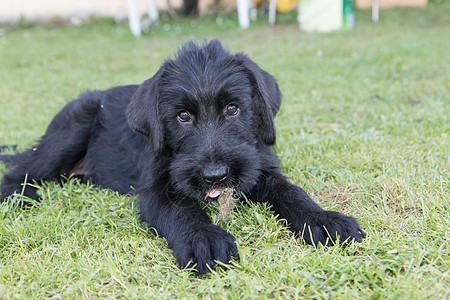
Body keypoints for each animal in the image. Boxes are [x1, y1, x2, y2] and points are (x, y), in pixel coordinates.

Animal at [0, 39, 366, 274]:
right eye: (183, 116)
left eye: (233, 108)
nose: (216, 175)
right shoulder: (155, 190)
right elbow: (180, 210)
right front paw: (203, 238)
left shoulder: (260, 169)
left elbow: (291, 191)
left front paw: (324, 220)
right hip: (70, 132)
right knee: (20, 169)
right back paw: (20, 195)